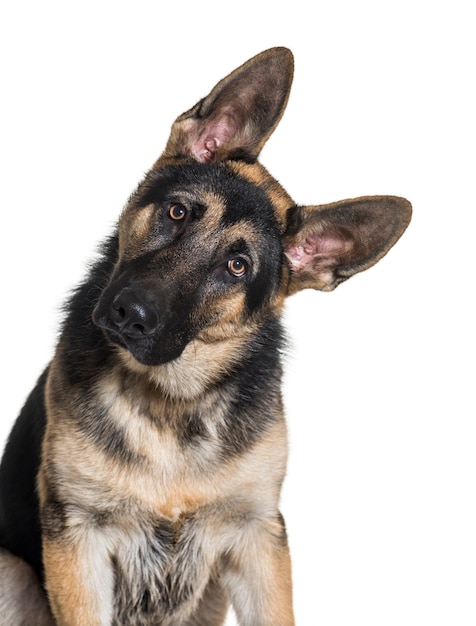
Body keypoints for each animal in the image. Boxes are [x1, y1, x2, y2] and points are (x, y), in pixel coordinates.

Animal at [0, 46, 410, 620]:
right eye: (178, 212)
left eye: (237, 266)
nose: (129, 315)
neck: (172, 400)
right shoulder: (77, 539)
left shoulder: (258, 537)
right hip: (10, 569)